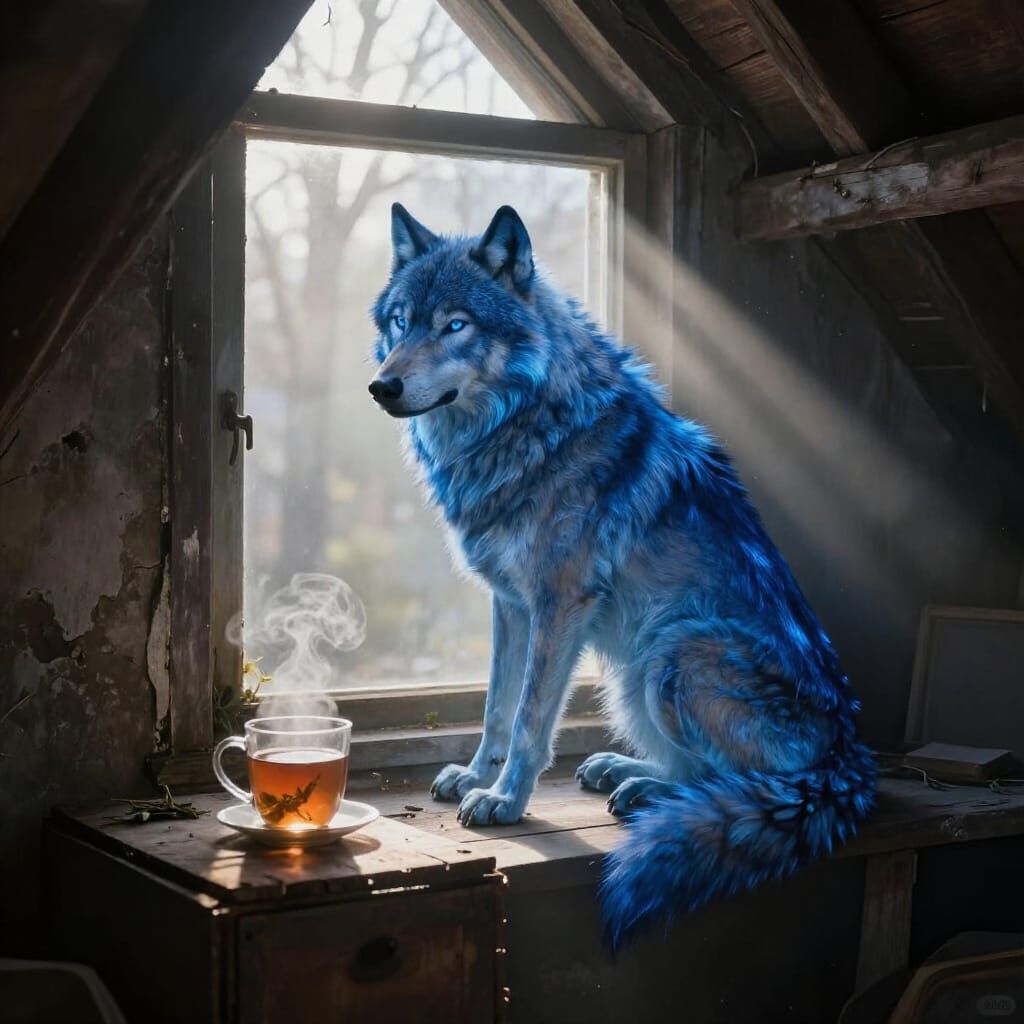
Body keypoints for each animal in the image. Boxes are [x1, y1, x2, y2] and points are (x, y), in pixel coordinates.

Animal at [368, 202, 876, 945]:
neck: (524, 427)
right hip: (633, 671)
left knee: (746, 787)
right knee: (697, 768)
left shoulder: (558, 604)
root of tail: (851, 753)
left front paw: (505, 799)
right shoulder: (510, 605)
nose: (383, 386)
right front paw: (475, 777)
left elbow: (529, 720)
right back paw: (622, 770)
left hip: (673, 648)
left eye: (455, 325)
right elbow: (495, 709)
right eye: (401, 321)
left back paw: (646, 789)